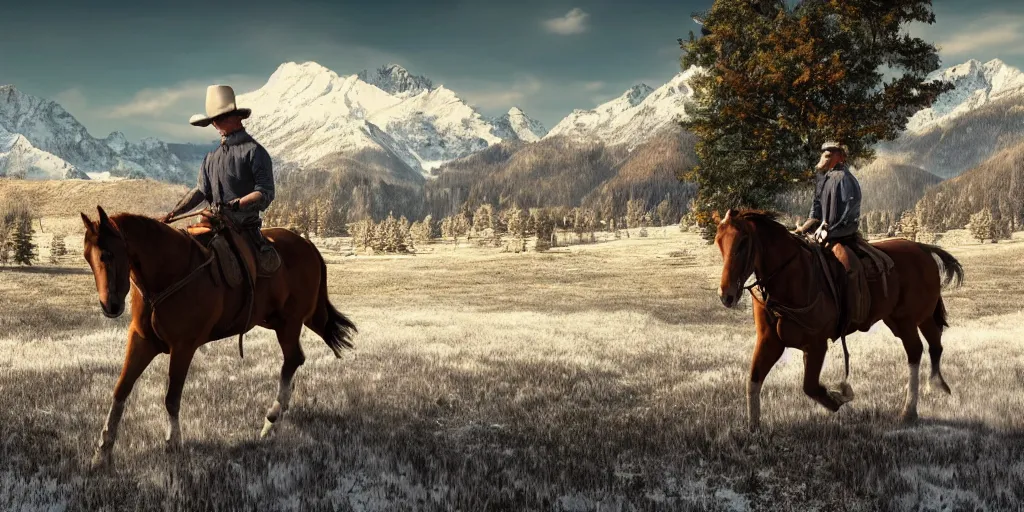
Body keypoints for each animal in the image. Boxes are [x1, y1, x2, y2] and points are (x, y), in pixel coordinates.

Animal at [78, 205, 356, 468]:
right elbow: (120, 390)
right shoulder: (141, 341)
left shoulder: (183, 347)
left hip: (291, 323)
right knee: (297, 358)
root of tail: (308, 245)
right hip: (288, 320)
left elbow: (172, 398)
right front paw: (102, 454)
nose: (110, 306)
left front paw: (173, 445)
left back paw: (271, 421)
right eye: (87, 257)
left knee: (292, 359)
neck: (170, 273)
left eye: (108, 254)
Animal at [716, 209, 962, 430]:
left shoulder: (816, 344)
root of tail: (922, 248)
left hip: (907, 319)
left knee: (916, 351)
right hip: (911, 318)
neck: (792, 276)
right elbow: (753, 380)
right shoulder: (769, 341)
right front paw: (753, 429)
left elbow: (810, 386)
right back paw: (936, 386)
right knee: (934, 344)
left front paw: (840, 397)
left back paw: (909, 411)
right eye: (719, 242)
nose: (726, 295)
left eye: (743, 243)